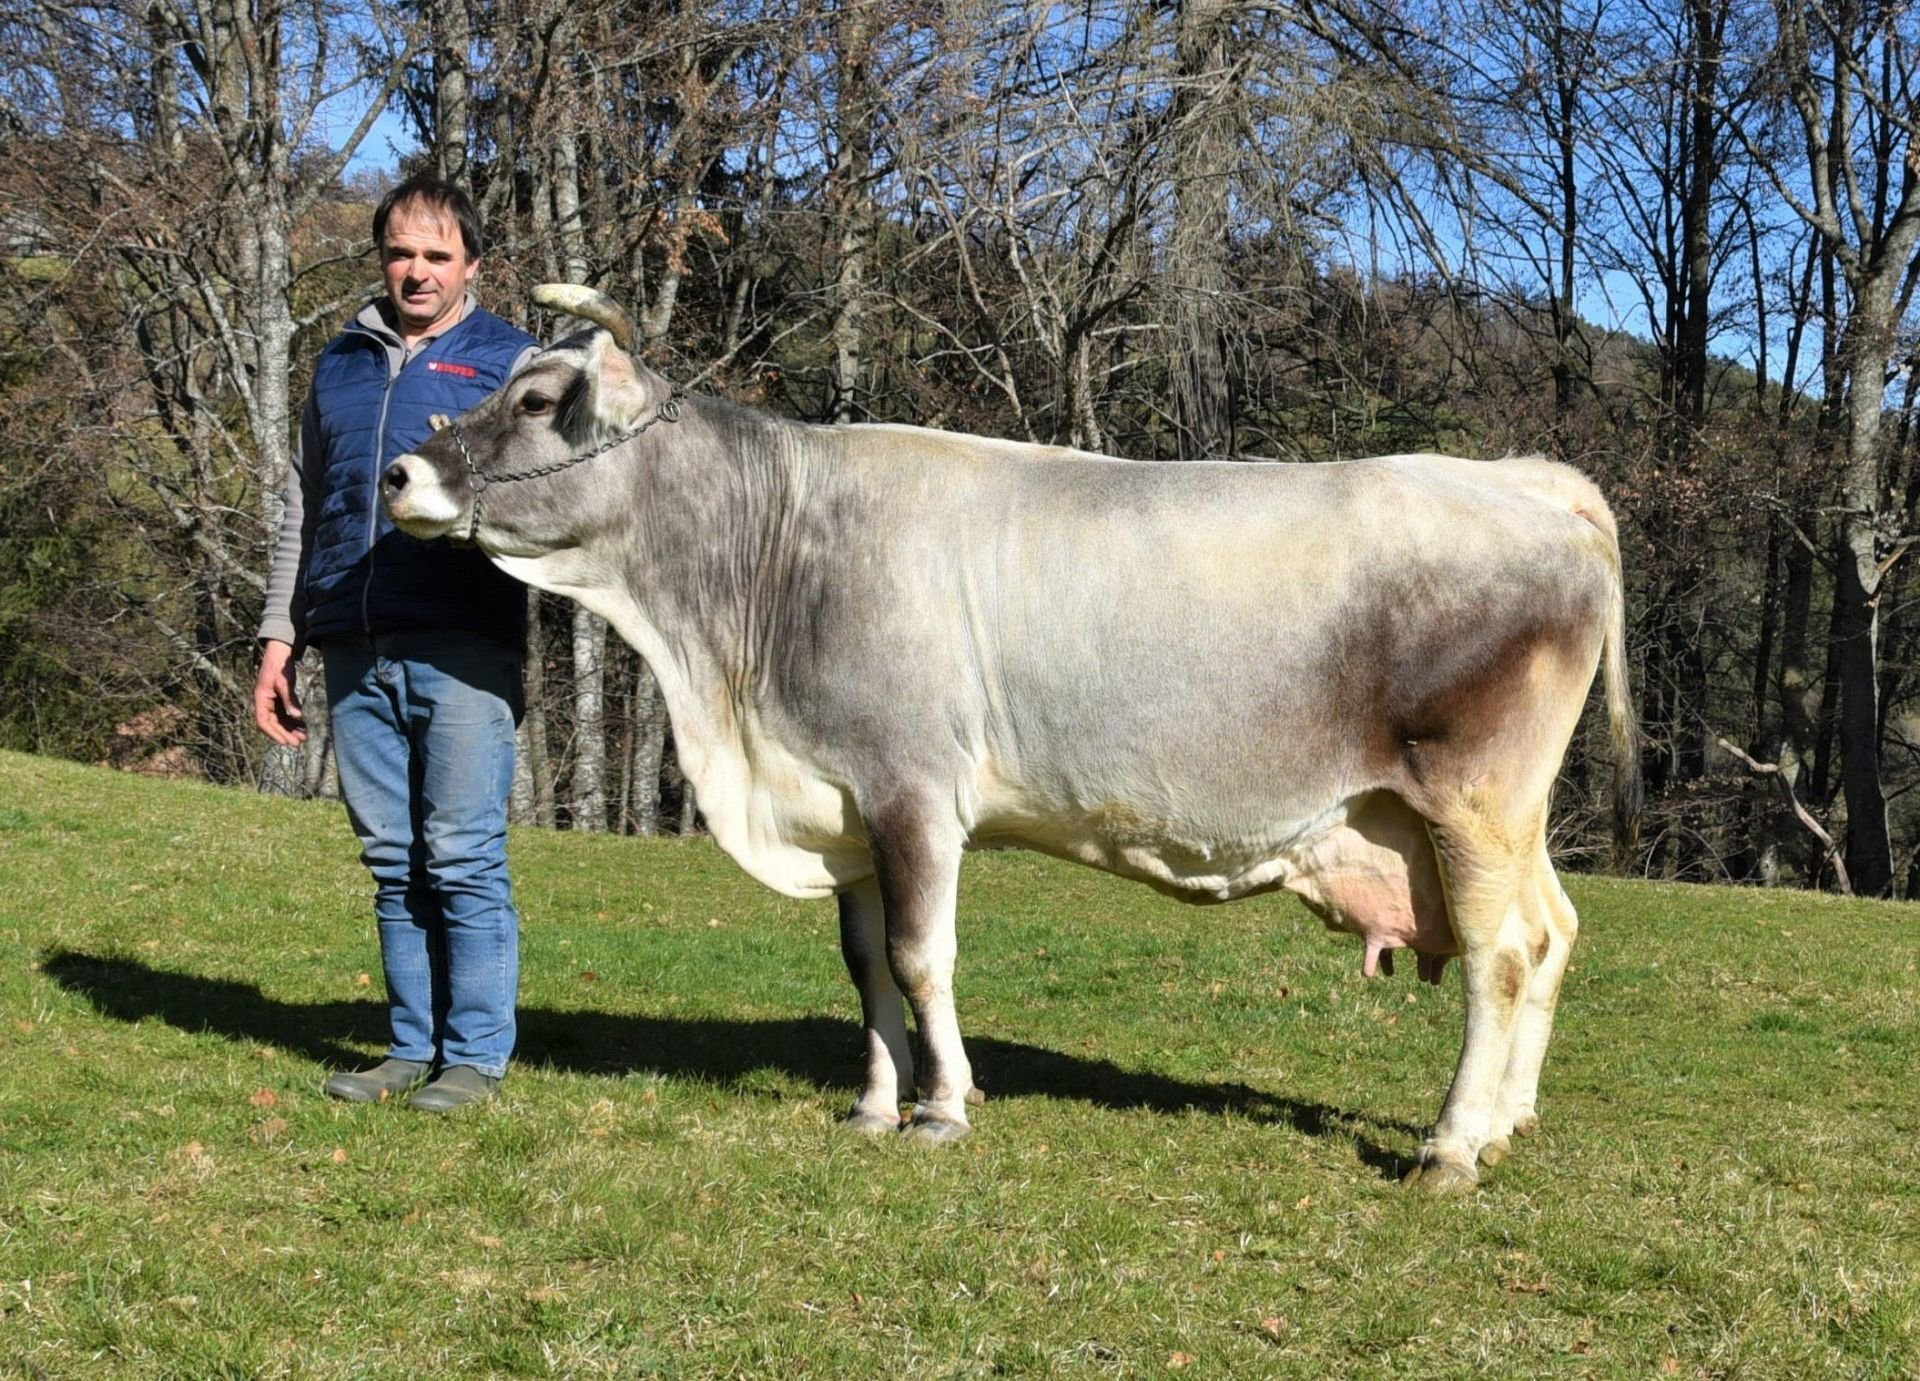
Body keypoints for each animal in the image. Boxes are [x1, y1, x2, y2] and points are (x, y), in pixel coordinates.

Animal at [378, 280, 1635, 1190]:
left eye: (536, 400)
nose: (400, 469)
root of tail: (1525, 480)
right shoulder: (844, 804)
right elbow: (865, 964)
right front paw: (873, 1104)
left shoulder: (913, 792)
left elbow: (921, 956)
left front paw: (941, 1108)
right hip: (1501, 818)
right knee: (1554, 932)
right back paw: (1509, 1121)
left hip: (1470, 798)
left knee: (1500, 956)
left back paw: (1454, 1145)